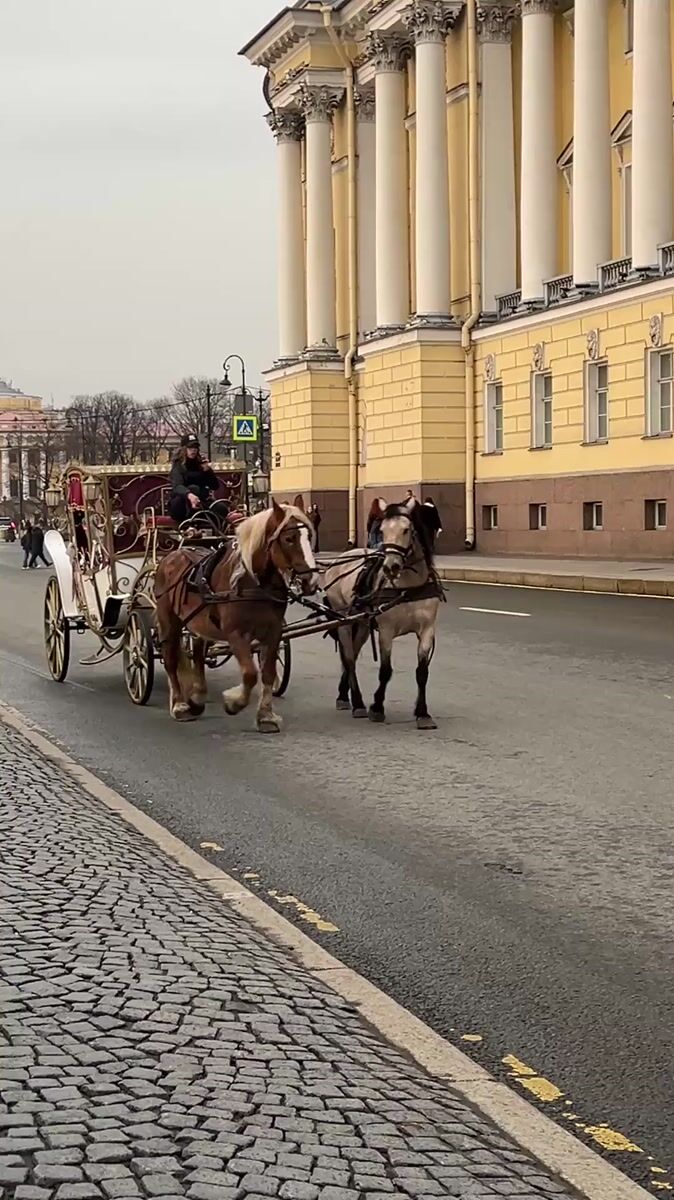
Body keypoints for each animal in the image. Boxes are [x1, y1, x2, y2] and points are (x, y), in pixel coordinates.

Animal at [154, 501, 318, 732]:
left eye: (309, 536)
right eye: (289, 539)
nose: (311, 580)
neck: (252, 584)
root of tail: (172, 556)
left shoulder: (274, 632)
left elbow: (267, 673)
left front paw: (266, 716)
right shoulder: (236, 634)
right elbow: (250, 674)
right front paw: (234, 703)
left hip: (199, 624)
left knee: (198, 655)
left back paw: (197, 698)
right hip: (169, 621)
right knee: (170, 659)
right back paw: (179, 705)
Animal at [322, 498, 442, 730]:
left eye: (406, 529)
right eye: (382, 530)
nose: (390, 567)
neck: (408, 588)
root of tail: (339, 559)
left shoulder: (427, 630)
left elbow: (422, 672)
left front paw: (422, 713)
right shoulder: (386, 631)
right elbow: (385, 671)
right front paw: (377, 707)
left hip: (361, 626)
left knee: (352, 656)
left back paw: (343, 695)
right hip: (344, 622)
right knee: (349, 659)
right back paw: (358, 703)